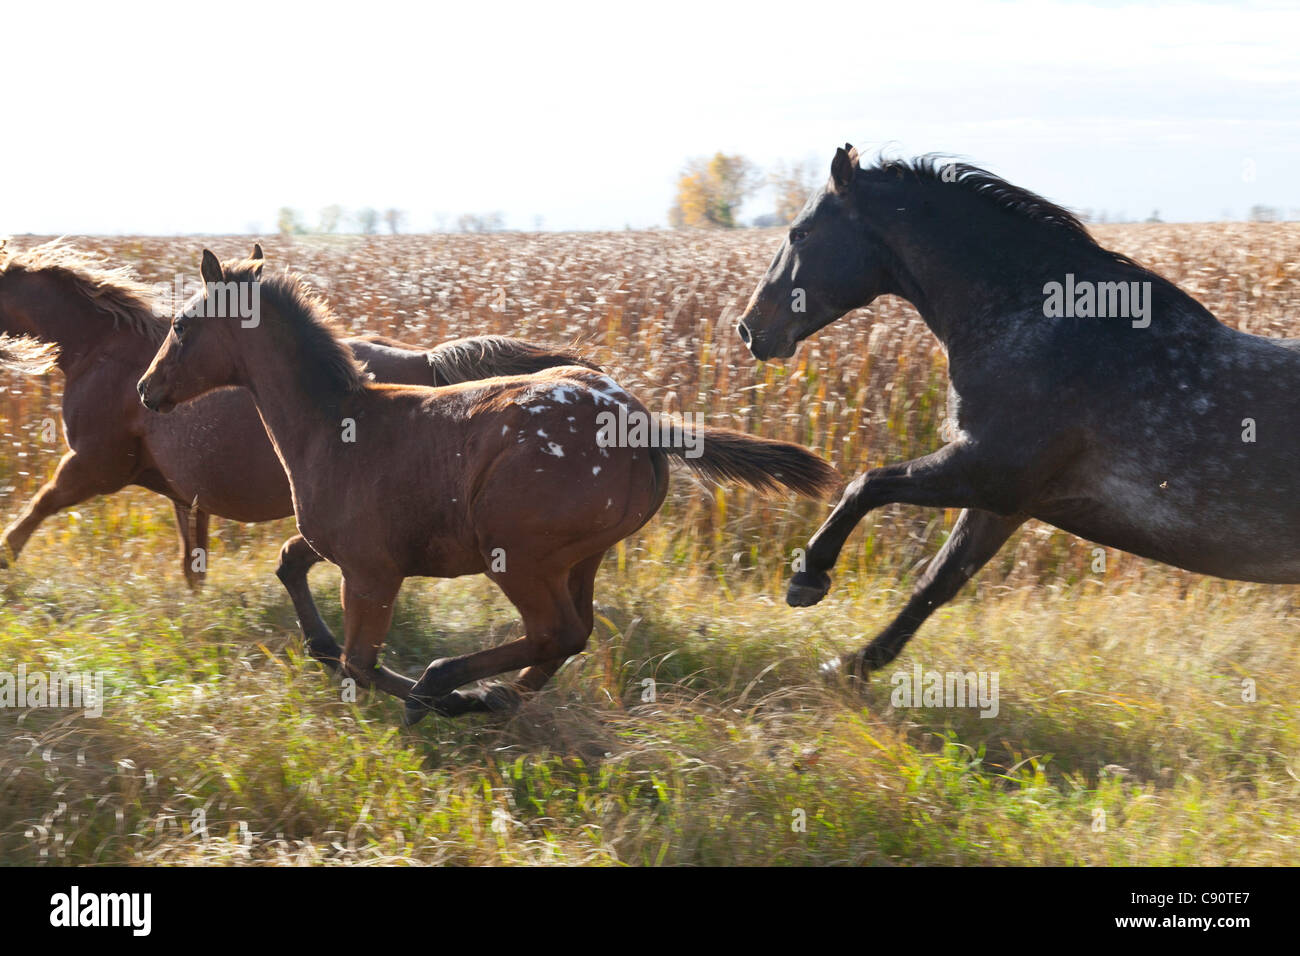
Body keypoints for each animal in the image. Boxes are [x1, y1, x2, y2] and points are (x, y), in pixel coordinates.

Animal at [0, 239, 598, 608]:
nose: (148, 392)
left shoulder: (93, 465)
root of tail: (427, 360)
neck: (103, 350)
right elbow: (192, 560)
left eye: (182, 325)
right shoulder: (181, 492)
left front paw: (6, 569)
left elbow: (34, 512)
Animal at [137, 251, 837, 723]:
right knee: (570, 635)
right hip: (579, 559)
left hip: (518, 554)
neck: (331, 425)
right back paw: (489, 697)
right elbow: (291, 566)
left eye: (180, 326)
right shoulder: (335, 546)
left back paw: (450, 685)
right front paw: (322, 645)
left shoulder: (371, 571)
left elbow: (360, 662)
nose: (147, 390)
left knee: (555, 633)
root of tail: (640, 422)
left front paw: (423, 698)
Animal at [738, 145, 1294, 676]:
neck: (1034, 324)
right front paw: (848, 669)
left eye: (800, 233)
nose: (748, 328)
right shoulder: (1007, 502)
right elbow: (937, 582)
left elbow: (865, 485)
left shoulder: (988, 471)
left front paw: (809, 577)